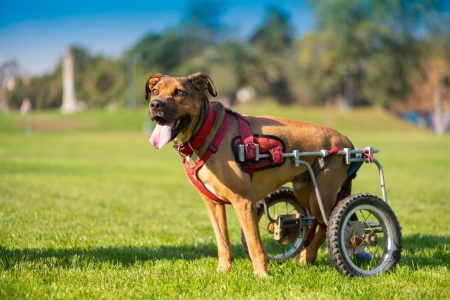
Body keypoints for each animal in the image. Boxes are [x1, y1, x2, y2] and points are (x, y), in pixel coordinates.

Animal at [146, 72, 354, 276]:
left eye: (179, 92)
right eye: (155, 90)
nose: (155, 104)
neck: (207, 130)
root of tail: (347, 141)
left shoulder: (243, 201)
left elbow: (255, 245)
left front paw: (262, 275)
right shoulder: (213, 204)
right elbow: (223, 243)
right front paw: (223, 269)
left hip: (320, 196)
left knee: (327, 223)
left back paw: (314, 254)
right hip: (303, 190)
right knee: (312, 222)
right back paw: (307, 255)